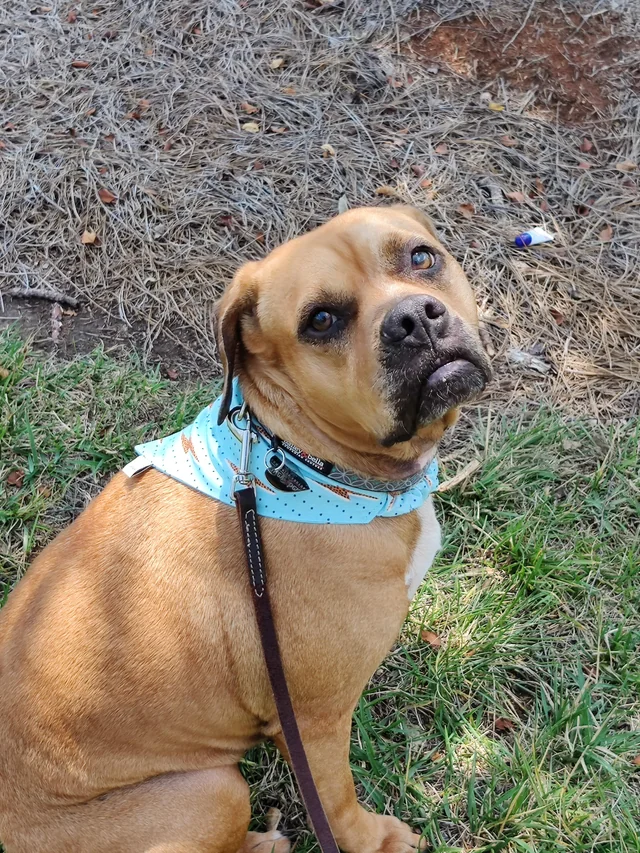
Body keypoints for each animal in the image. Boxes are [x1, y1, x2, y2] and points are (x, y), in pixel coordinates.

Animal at [0, 206, 490, 852]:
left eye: (420, 257)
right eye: (321, 320)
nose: (413, 320)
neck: (300, 461)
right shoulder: (312, 721)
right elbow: (336, 804)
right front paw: (374, 840)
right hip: (214, 790)